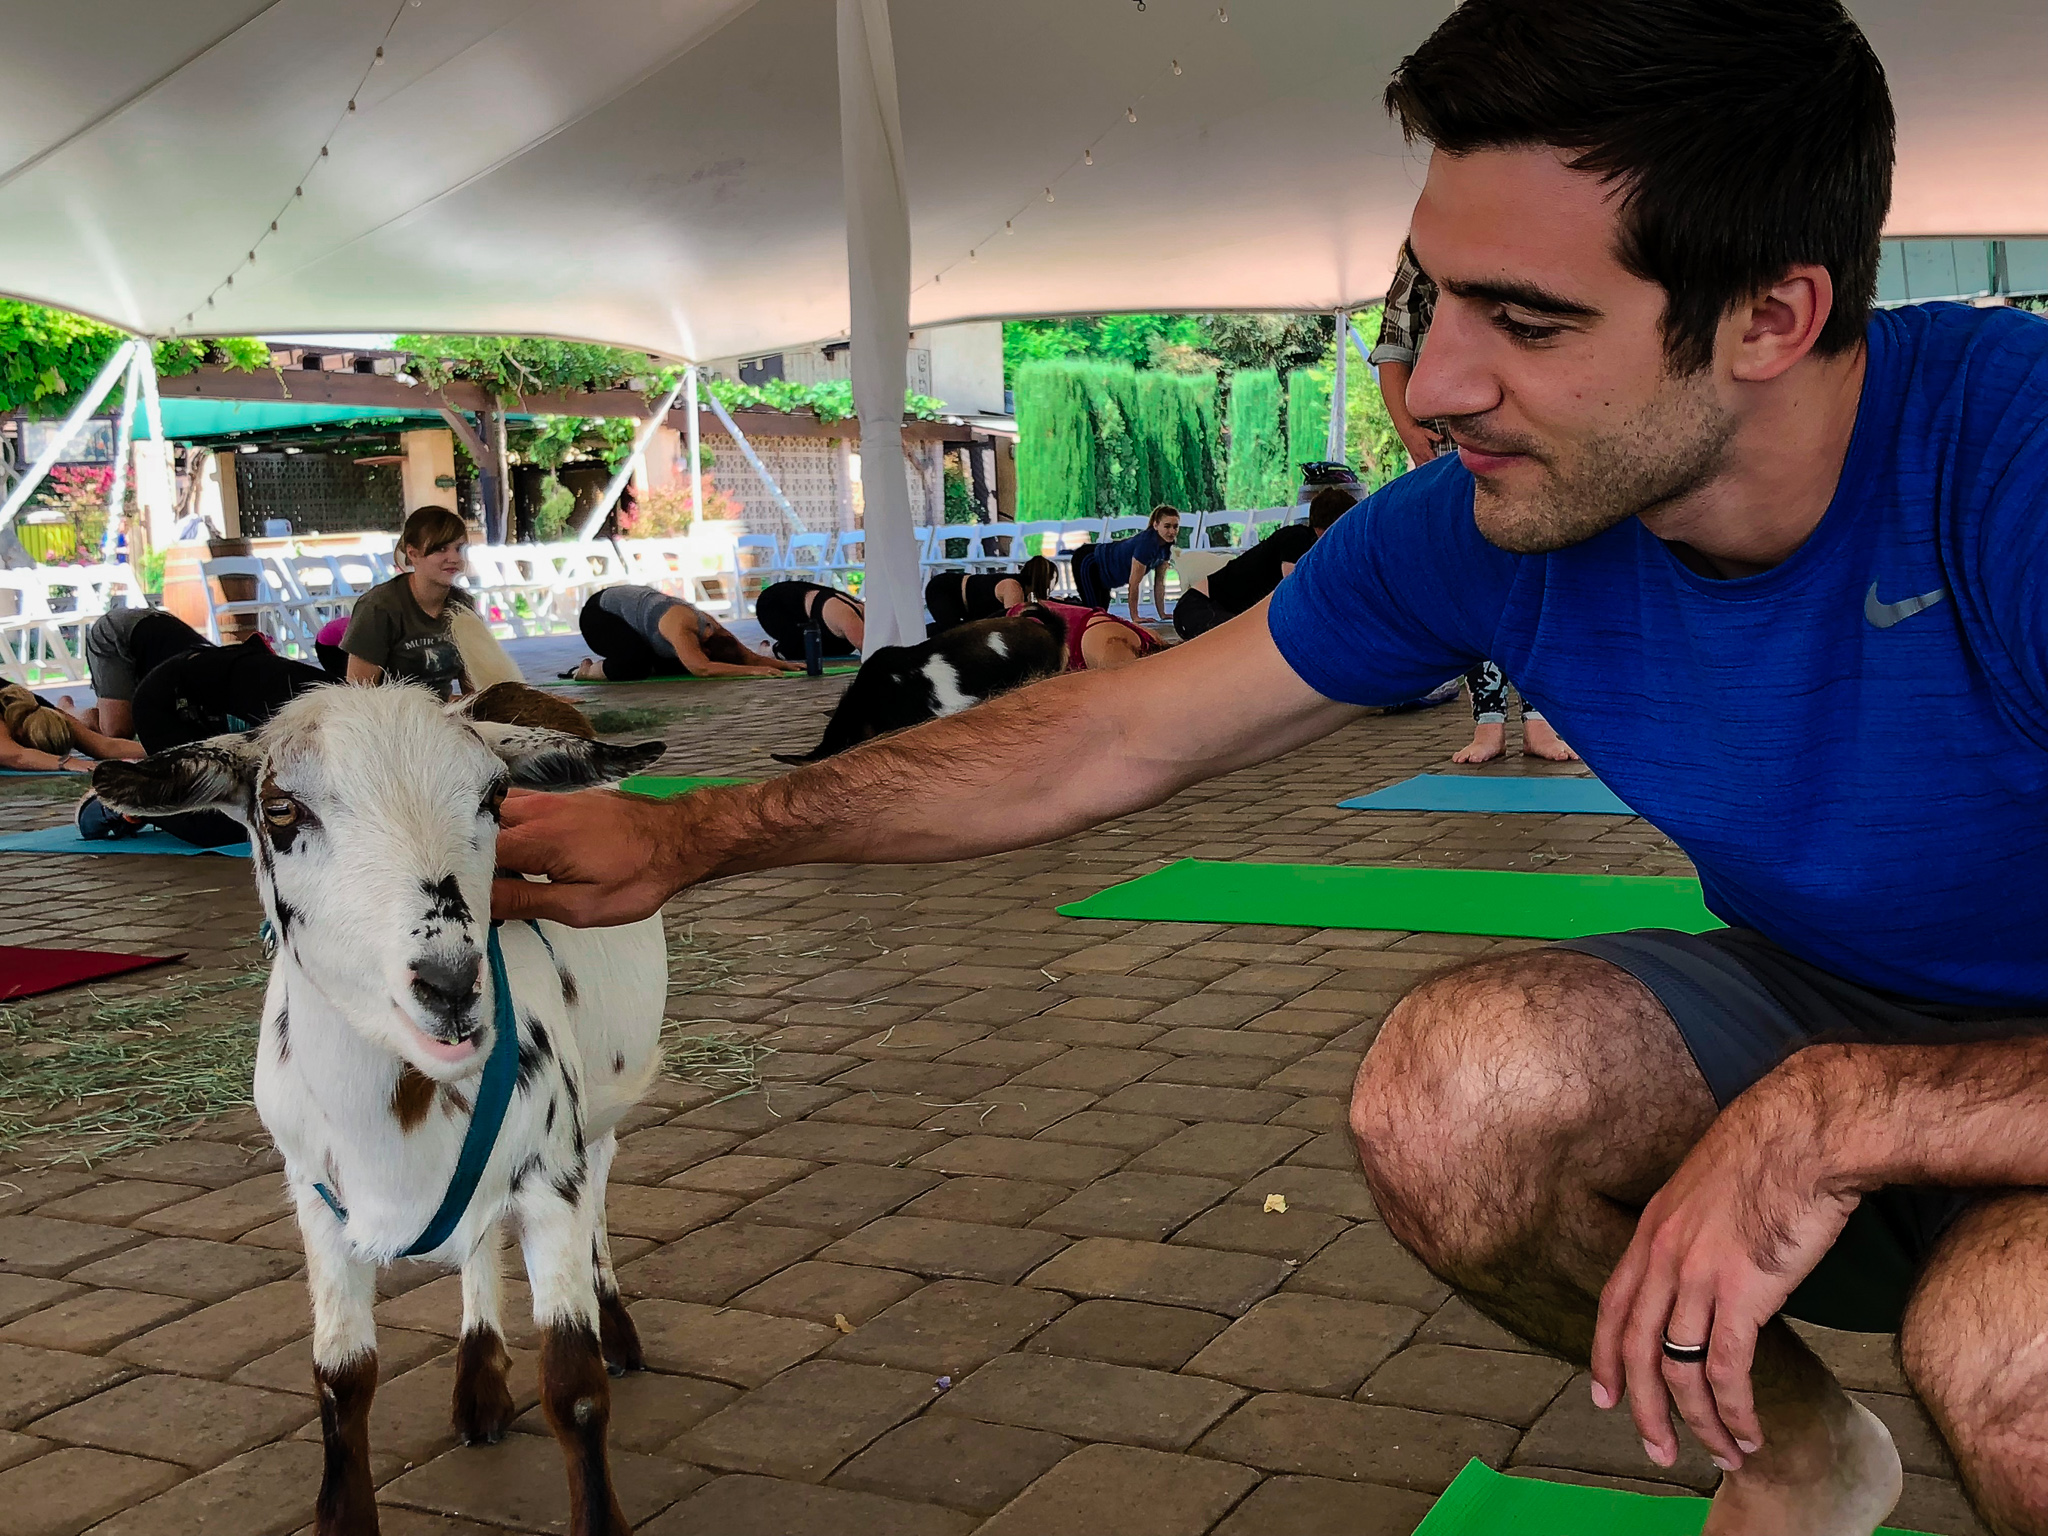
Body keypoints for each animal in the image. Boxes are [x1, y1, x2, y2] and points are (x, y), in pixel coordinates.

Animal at [92, 683, 668, 1536]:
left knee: (600, 1187)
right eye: (281, 808)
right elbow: (342, 1374)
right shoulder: (314, 1194)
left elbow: (574, 1387)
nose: (450, 985)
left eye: (497, 797)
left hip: (598, 1111)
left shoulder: (548, 1172)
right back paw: (479, 1385)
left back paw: (615, 1330)